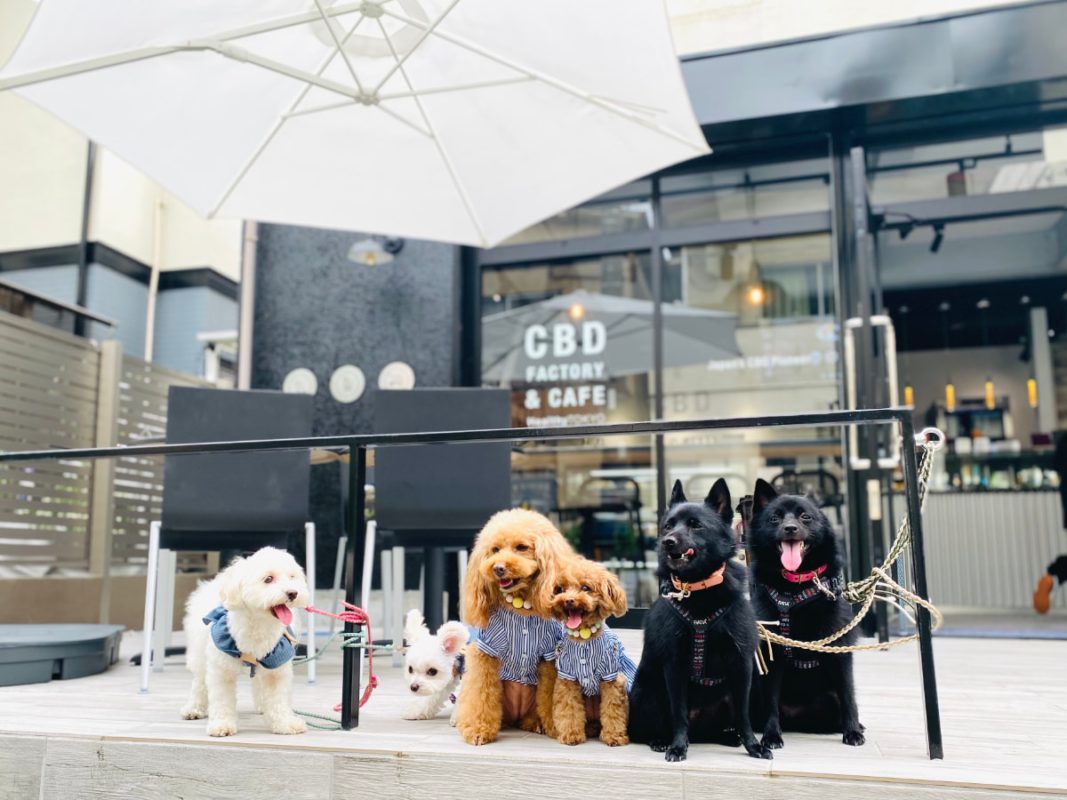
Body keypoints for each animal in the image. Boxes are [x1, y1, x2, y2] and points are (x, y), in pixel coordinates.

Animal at [181, 546, 309, 738]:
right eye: (268, 579)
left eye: (292, 577)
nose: (293, 593)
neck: (259, 625)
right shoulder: (221, 669)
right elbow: (222, 700)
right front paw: (221, 725)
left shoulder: (276, 666)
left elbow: (278, 699)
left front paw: (284, 723)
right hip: (199, 651)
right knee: (199, 681)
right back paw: (194, 709)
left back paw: (263, 706)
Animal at [627, 480, 772, 759]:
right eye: (668, 525)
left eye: (696, 525)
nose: (667, 542)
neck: (698, 589)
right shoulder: (674, 666)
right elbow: (679, 714)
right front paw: (677, 746)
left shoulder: (742, 665)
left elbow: (744, 716)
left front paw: (753, 745)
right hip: (649, 691)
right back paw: (661, 740)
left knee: (721, 727)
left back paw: (730, 737)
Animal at [746, 482, 862, 750]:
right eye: (775, 518)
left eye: (805, 517)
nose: (790, 528)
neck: (795, 586)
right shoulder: (773, 652)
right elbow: (771, 703)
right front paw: (771, 736)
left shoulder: (839, 648)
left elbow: (848, 695)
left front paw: (852, 731)